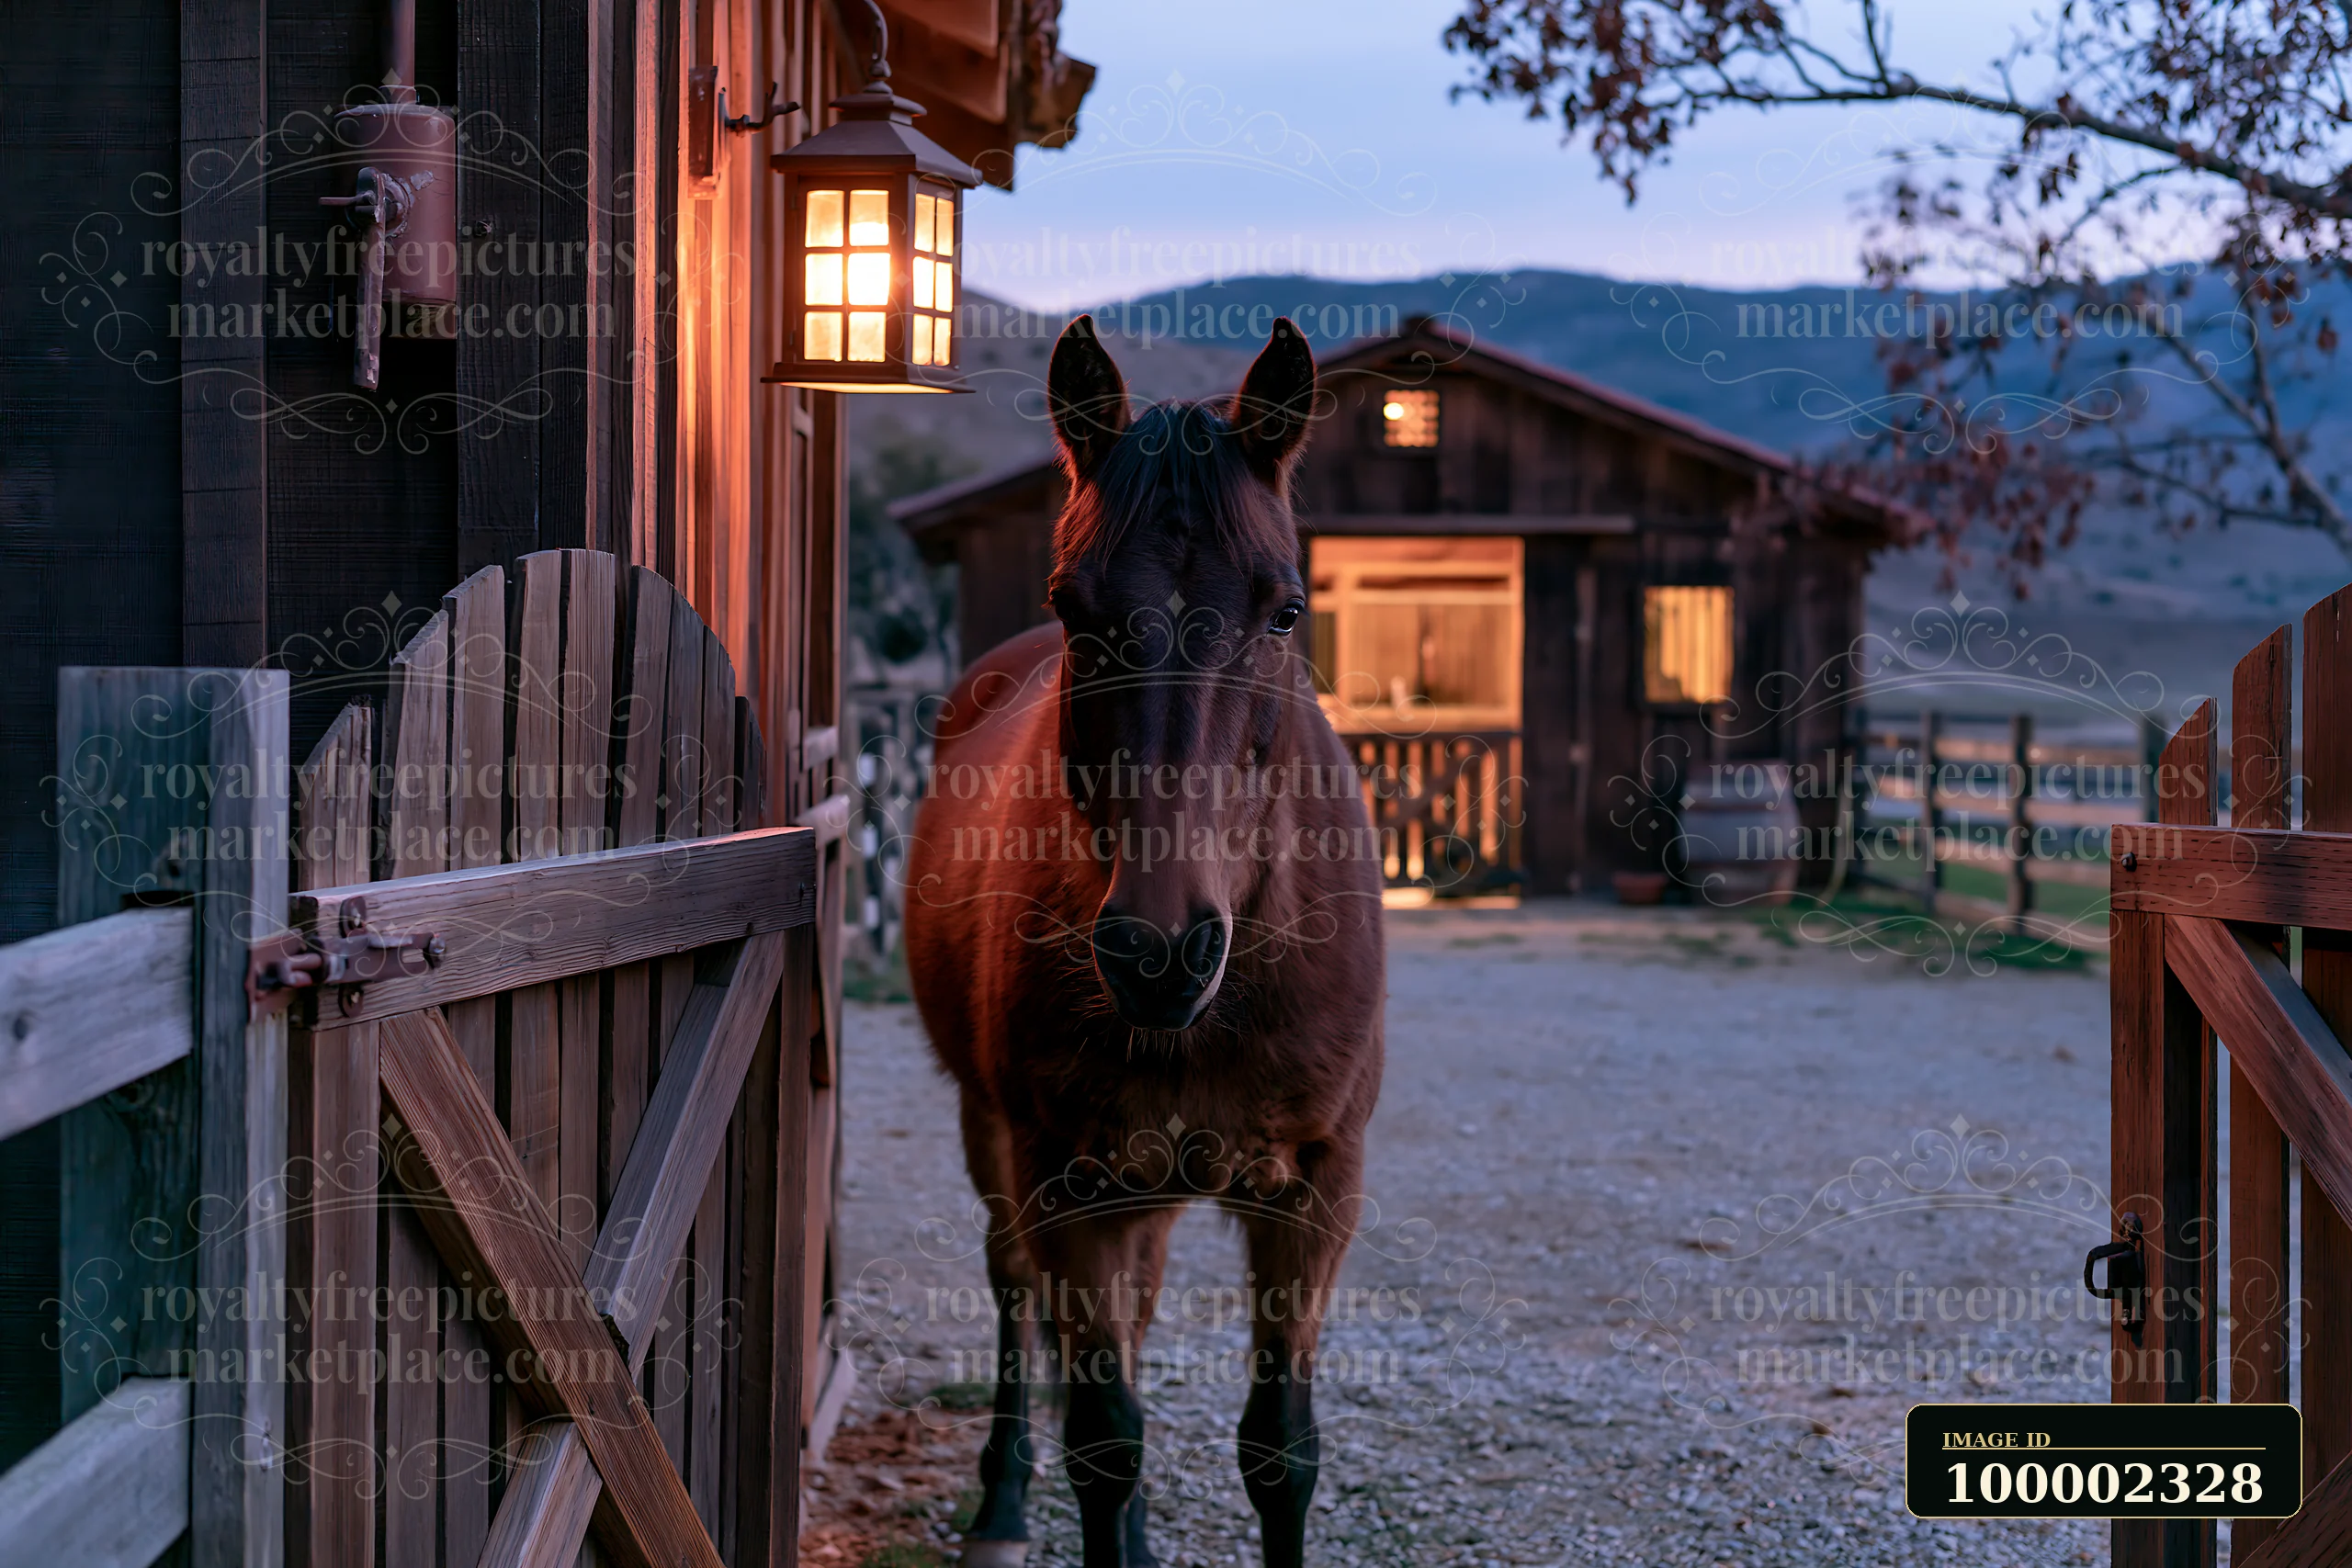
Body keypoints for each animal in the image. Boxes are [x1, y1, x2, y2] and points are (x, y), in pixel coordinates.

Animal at [901, 315, 1387, 1568]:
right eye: (1078, 609)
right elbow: (1104, 1438)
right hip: (1000, 1146)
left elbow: (1278, 1450)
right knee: (1017, 1295)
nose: (1160, 953)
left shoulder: (1315, 1193)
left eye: (1285, 611)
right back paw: (1003, 1501)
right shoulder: (1066, 1183)